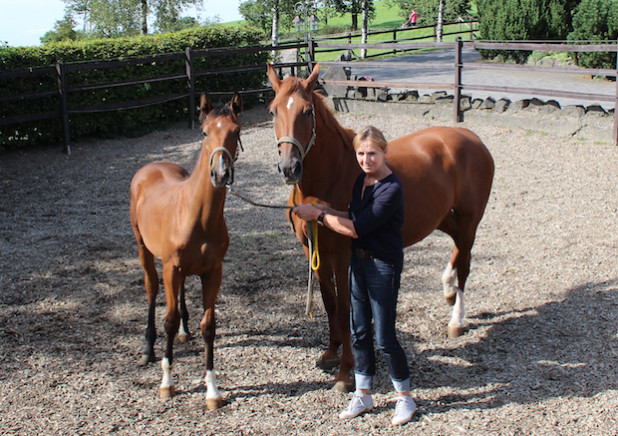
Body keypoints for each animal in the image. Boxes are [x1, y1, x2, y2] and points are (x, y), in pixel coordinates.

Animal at [129, 93, 242, 410]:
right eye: (204, 132)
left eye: (236, 131)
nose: (220, 173)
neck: (197, 216)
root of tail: (149, 168)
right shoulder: (171, 268)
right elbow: (167, 319)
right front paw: (167, 383)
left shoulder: (213, 271)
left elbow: (209, 326)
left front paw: (212, 391)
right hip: (144, 249)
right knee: (152, 289)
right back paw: (148, 349)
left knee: (178, 296)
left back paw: (184, 331)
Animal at [264, 62, 490, 392]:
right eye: (272, 111)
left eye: (307, 111)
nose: (289, 168)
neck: (330, 179)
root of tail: (471, 138)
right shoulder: (313, 251)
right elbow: (329, 302)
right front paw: (330, 353)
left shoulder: (342, 255)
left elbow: (345, 309)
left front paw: (346, 373)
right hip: (443, 217)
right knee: (459, 247)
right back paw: (448, 289)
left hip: (470, 217)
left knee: (465, 261)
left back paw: (456, 320)